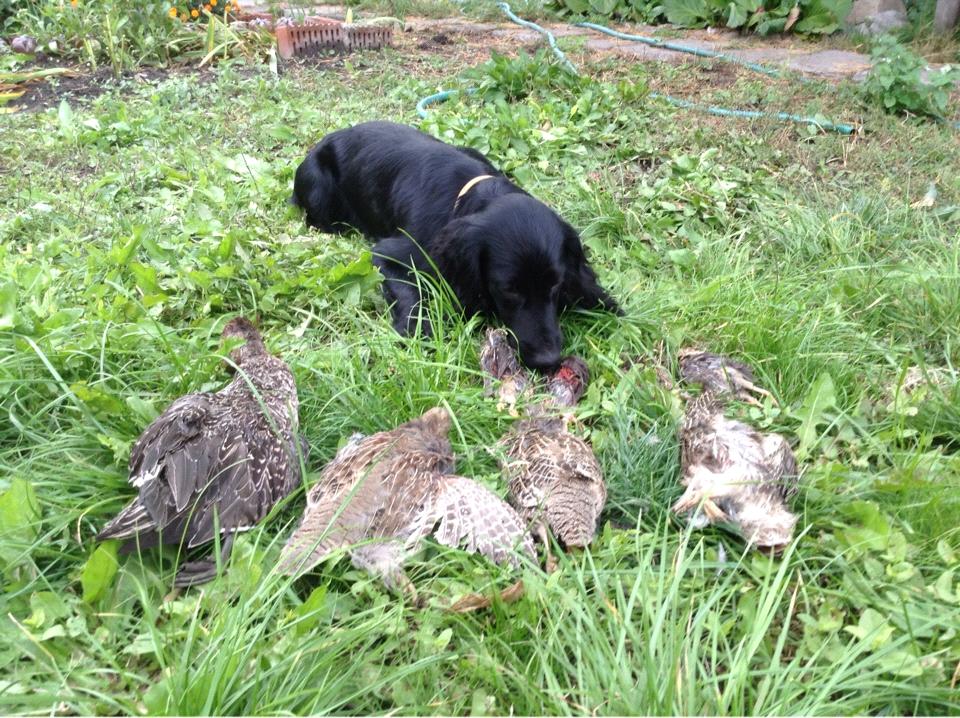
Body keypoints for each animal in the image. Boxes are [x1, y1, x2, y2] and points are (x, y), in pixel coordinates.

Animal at [291, 121, 619, 371]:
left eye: (555, 284)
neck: (470, 194)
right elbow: (408, 292)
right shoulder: (391, 253)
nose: (548, 360)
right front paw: (415, 329)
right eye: (509, 290)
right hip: (318, 189)